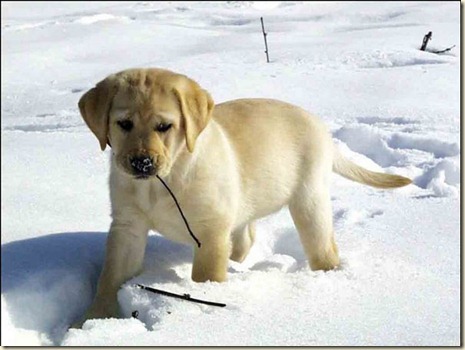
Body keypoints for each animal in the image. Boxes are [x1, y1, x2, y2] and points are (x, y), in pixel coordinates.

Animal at [75, 67, 410, 324]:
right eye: (124, 124)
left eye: (164, 126)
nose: (141, 163)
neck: (161, 182)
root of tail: (322, 129)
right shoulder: (127, 226)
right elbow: (110, 277)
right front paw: (94, 319)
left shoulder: (211, 230)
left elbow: (205, 275)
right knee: (245, 238)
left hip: (309, 201)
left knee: (323, 249)